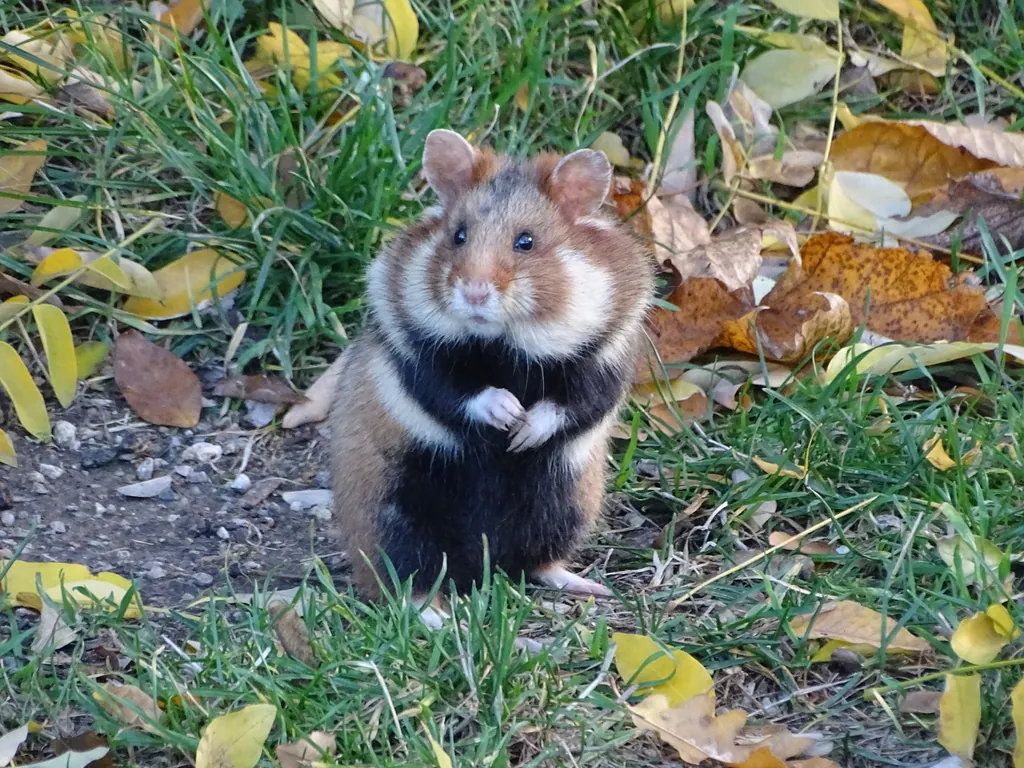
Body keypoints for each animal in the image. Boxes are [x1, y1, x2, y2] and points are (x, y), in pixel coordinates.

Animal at [329, 129, 655, 621]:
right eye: (458, 236)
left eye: (527, 242)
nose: (474, 293)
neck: (506, 340)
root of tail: (483, 566)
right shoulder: (417, 354)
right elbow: (457, 391)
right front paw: (507, 414)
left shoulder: (607, 357)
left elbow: (572, 403)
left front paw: (522, 434)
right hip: (394, 514)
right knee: (407, 578)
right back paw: (439, 618)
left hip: (566, 505)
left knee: (539, 561)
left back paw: (589, 587)